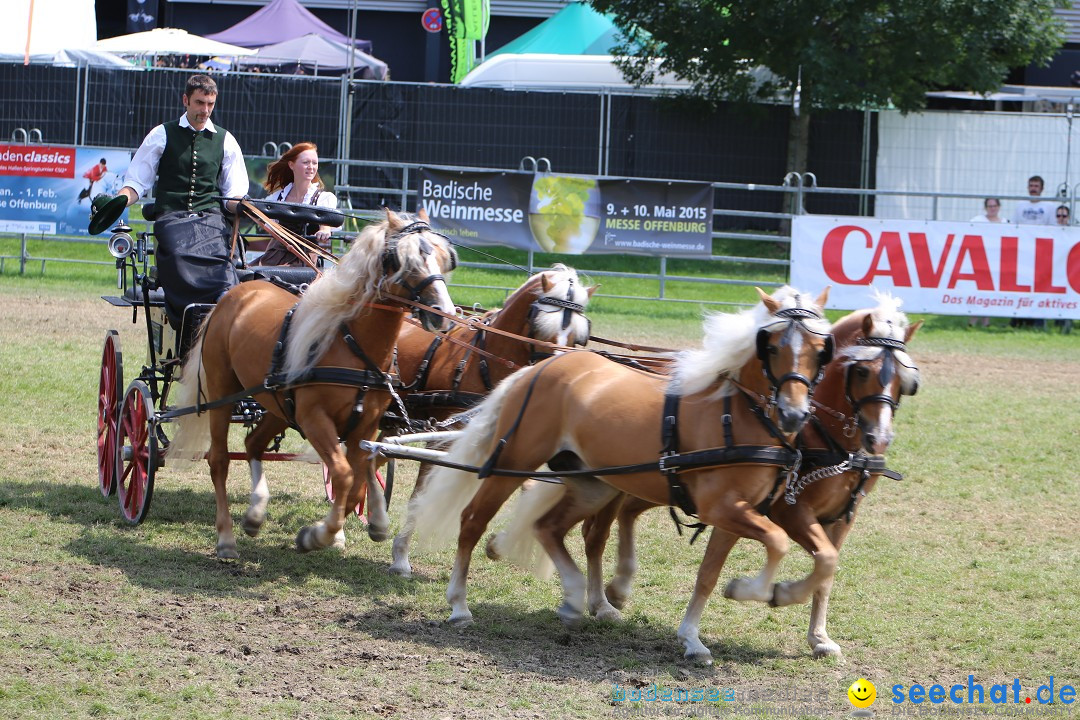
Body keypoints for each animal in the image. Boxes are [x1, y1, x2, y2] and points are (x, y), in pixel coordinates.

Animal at [168, 211, 455, 561]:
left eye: (444, 258)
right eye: (405, 261)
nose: (445, 315)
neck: (353, 343)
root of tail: (235, 294)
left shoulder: (364, 427)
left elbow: (356, 483)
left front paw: (348, 529)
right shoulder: (314, 418)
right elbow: (344, 475)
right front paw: (317, 536)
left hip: (276, 404)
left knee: (253, 444)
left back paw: (255, 514)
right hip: (222, 392)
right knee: (219, 460)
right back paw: (226, 538)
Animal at [386, 263, 596, 574]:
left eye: (578, 337)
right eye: (539, 326)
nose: (558, 373)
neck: (485, 360)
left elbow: (525, 484)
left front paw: (498, 544)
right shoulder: (440, 437)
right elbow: (420, 493)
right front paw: (400, 555)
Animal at [401, 284, 829, 660]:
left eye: (820, 349)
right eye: (771, 346)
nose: (794, 414)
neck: (735, 414)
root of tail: (538, 368)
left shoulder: (734, 513)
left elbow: (724, 571)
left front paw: (696, 636)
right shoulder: (721, 508)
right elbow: (779, 542)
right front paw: (753, 590)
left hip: (593, 484)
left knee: (550, 527)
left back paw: (575, 599)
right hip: (514, 463)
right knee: (474, 520)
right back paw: (459, 605)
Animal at [490, 295, 920, 660]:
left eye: (906, 377)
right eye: (861, 369)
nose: (879, 438)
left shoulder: (842, 517)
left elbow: (826, 569)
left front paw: (818, 637)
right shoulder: (788, 512)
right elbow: (814, 560)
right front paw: (773, 594)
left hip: (633, 481)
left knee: (613, 521)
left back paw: (609, 592)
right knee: (595, 534)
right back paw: (604, 593)